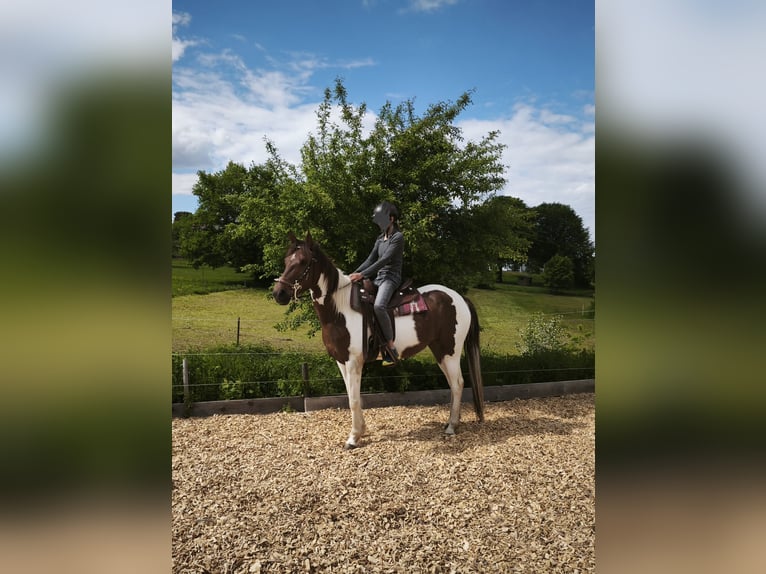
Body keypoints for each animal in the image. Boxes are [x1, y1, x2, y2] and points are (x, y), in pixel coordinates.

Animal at [273, 231, 485, 449]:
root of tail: (459, 298)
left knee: (458, 383)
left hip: (450, 351)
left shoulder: (354, 362)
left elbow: (354, 400)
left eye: (303, 261)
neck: (340, 310)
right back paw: (450, 422)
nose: (279, 293)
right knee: (452, 383)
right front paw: (361, 431)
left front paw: (353, 438)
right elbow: (352, 396)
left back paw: (451, 426)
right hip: (439, 351)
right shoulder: (341, 361)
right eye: (286, 260)